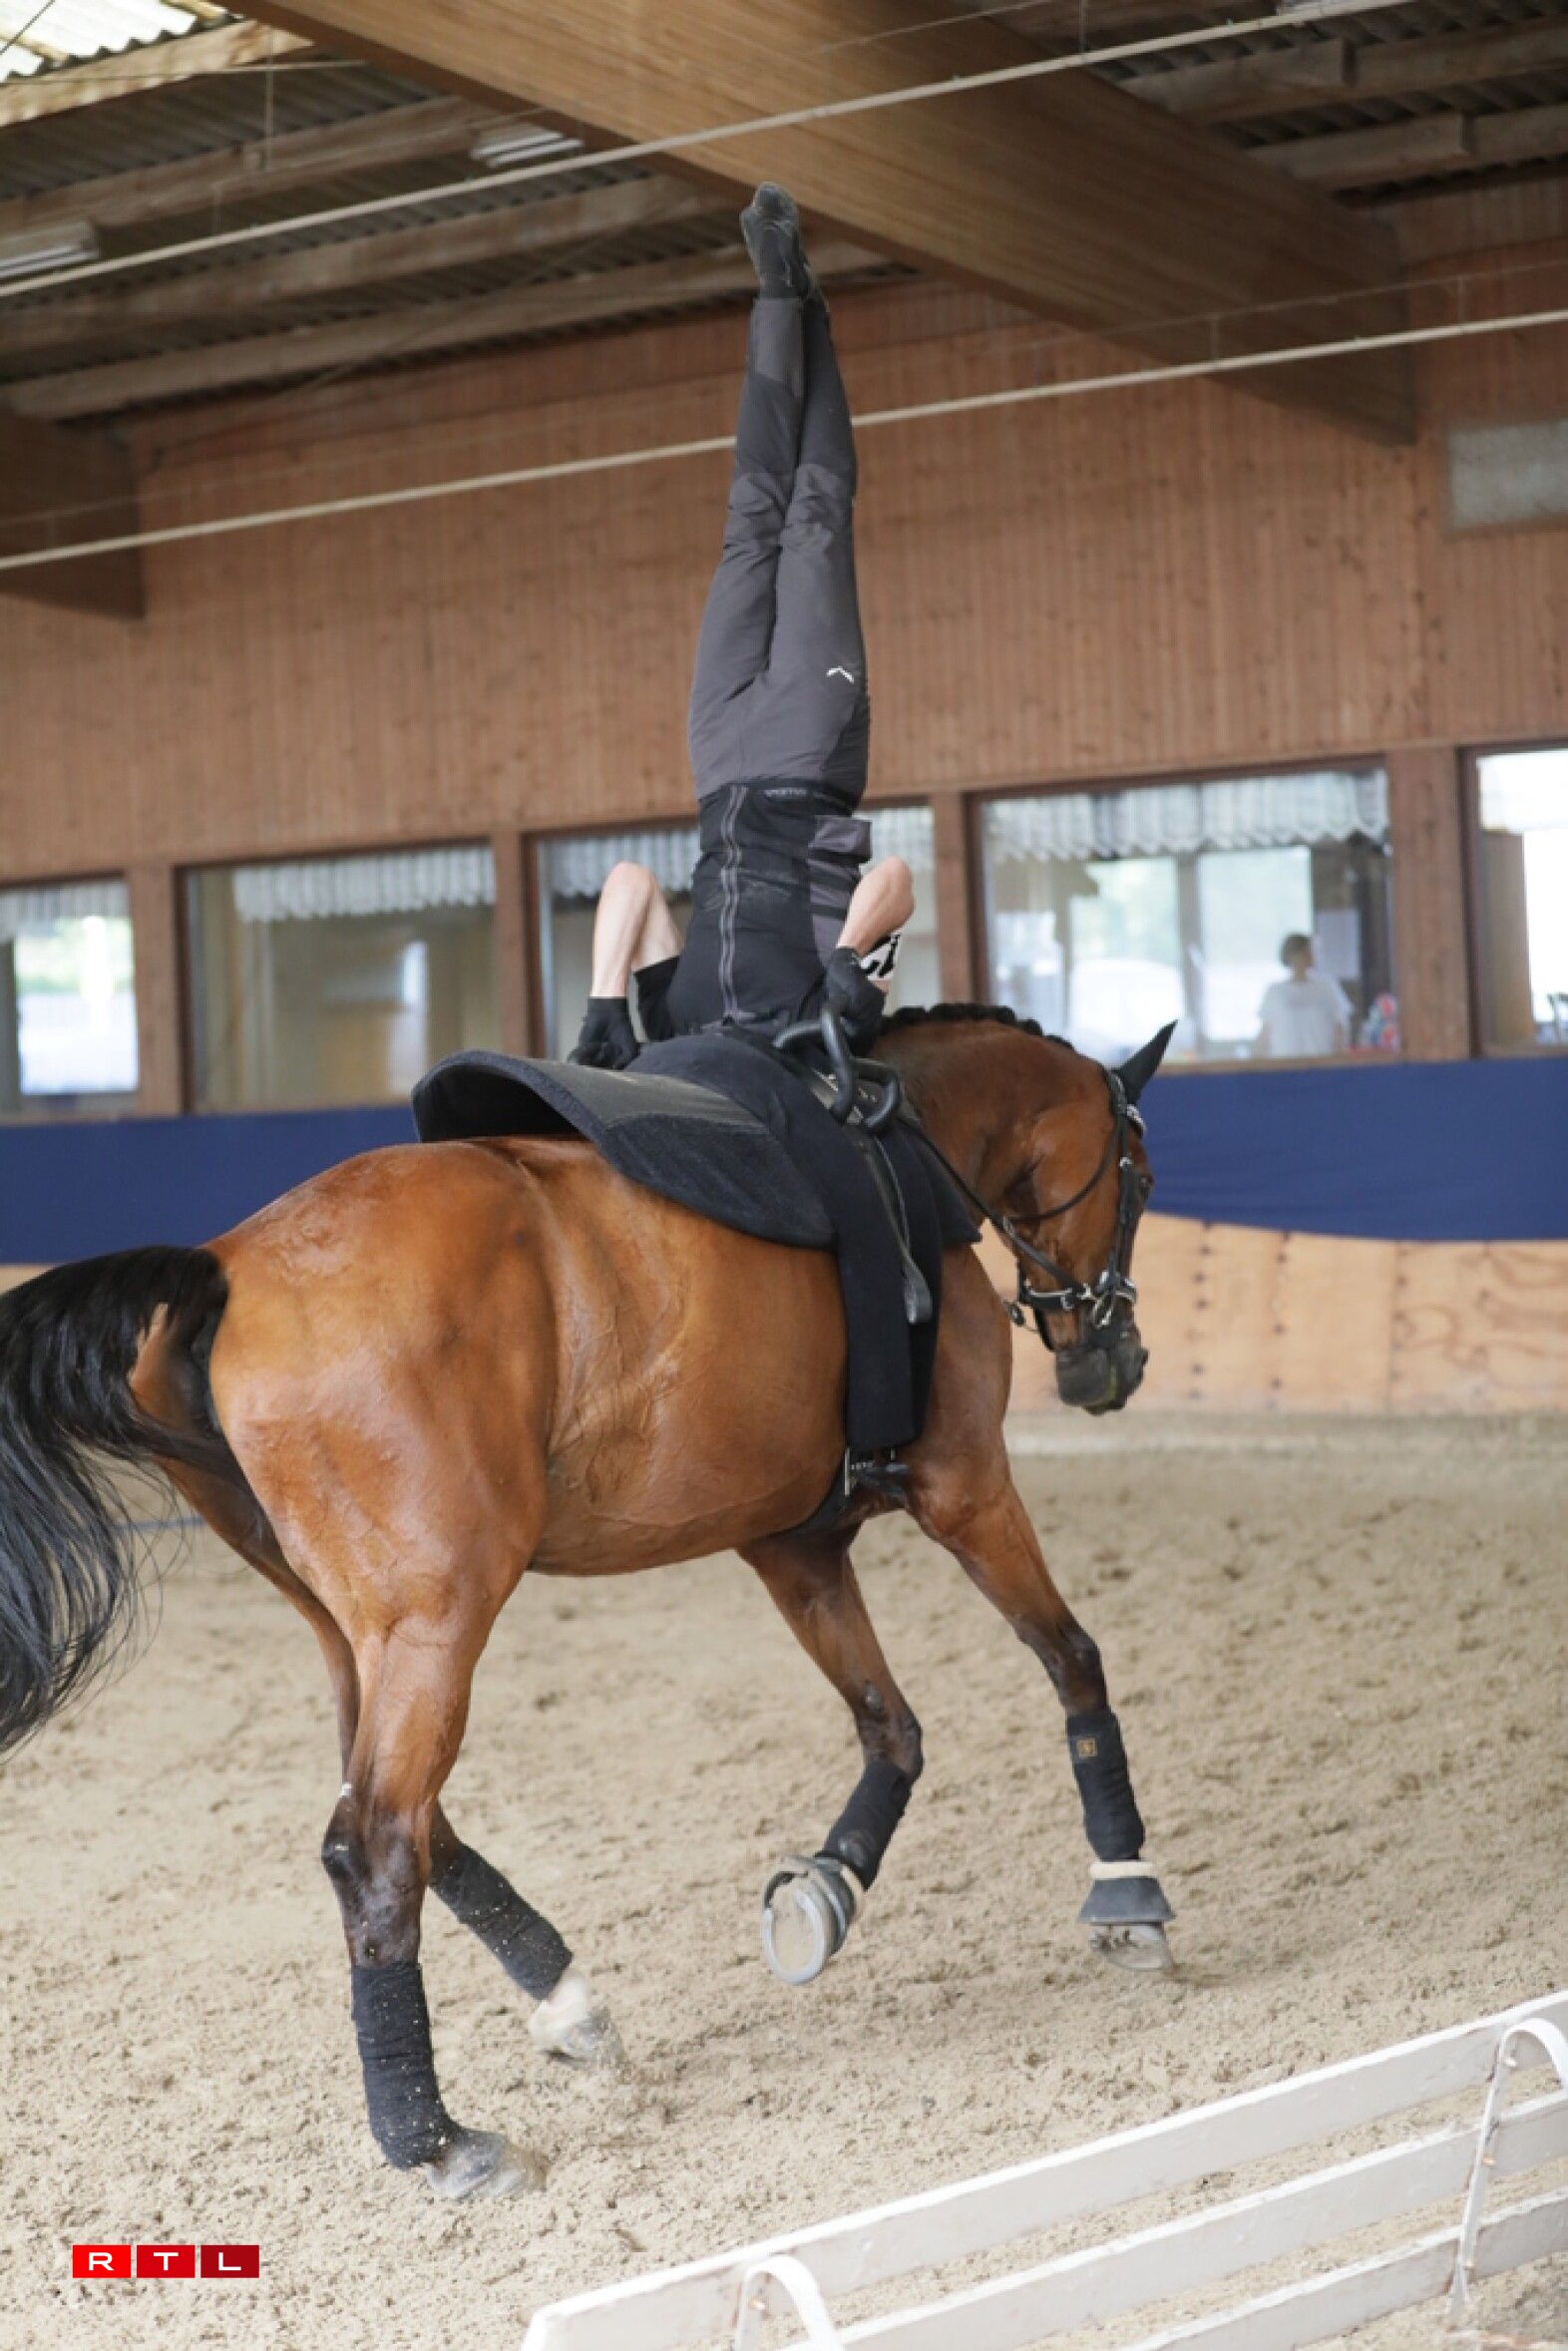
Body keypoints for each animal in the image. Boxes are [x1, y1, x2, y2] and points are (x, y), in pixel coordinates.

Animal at [0, 1005, 1175, 2201]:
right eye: (1138, 1170)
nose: (1112, 1360)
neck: (913, 1143)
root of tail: (228, 1265)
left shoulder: (792, 1544)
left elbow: (891, 1725)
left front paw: (827, 1886)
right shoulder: (966, 1484)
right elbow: (1071, 1657)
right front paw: (1126, 1885)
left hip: (353, 1631)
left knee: (414, 1821)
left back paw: (567, 2000)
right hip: (437, 1618)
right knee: (376, 1844)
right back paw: (438, 2139)